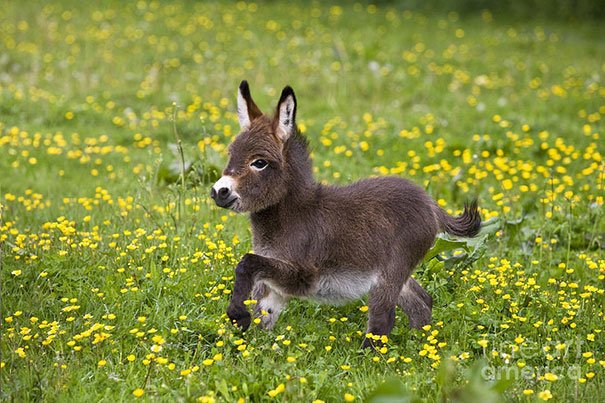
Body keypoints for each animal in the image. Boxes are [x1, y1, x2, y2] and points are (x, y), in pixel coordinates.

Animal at [210, 80, 478, 348]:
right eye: (231, 155)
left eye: (259, 163)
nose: (218, 192)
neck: (292, 215)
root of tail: (430, 203)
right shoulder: (273, 280)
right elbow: (263, 311)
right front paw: (254, 344)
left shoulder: (303, 277)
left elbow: (246, 263)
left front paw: (237, 315)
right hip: (397, 273)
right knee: (421, 302)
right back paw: (421, 345)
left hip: (391, 271)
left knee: (383, 318)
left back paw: (370, 355)